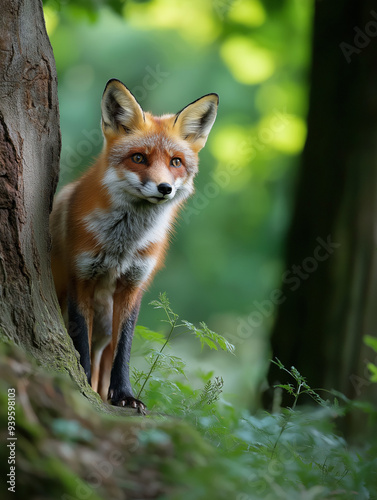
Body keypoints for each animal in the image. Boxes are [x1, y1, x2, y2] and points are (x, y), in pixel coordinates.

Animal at [49, 79, 217, 410]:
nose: (164, 188)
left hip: (105, 325)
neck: (122, 245)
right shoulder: (81, 278)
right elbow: (80, 342)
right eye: (139, 158)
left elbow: (123, 348)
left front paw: (124, 395)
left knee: (104, 359)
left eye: (176, 162)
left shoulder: (133, 285)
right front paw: (82, 384)